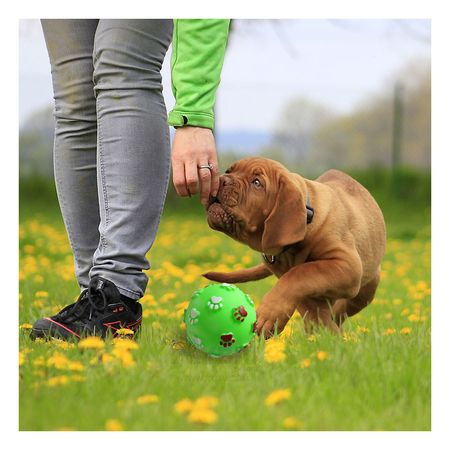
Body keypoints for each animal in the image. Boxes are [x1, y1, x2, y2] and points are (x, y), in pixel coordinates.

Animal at [206, 157, 384, 338]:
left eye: (257, 183)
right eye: (229, 171)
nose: (221, 180)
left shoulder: (347, 264)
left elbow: (299, 274)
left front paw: (269, 315)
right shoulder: (287, 275)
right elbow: (306, 297)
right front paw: (323, 333)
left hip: (366, 289)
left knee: (341, 309)